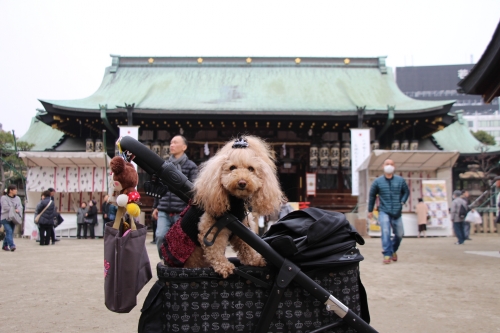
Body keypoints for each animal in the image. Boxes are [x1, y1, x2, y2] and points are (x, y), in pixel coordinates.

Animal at [183, 136, 286, 278]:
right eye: (232, 167)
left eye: (251, 169)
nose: (242, 182)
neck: (234, 201)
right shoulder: (210, 228)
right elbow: (215, 249)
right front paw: (224, 266)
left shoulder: (241, 227)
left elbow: (246, 245)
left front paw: (256, 260)